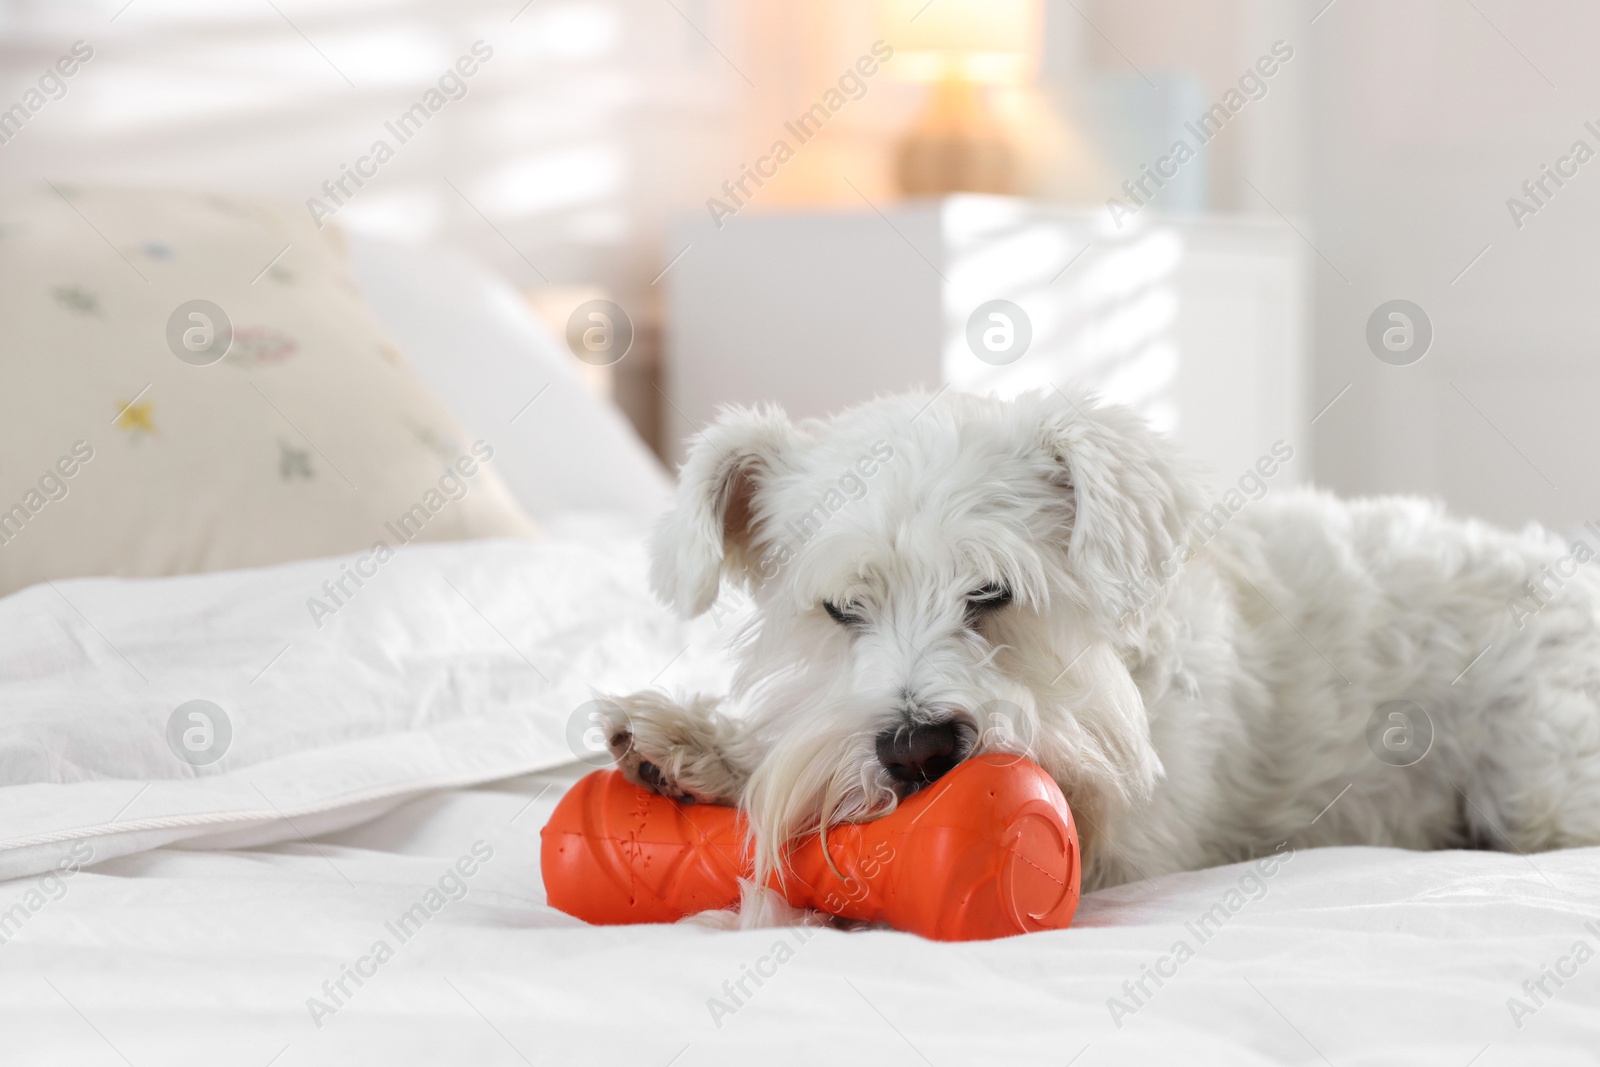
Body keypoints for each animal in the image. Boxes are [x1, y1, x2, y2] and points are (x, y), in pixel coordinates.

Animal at [601, 388, 1600, 908]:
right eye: (842, 608)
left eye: (992, 592)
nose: (919, 749)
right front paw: (698, 746)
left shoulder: (1134, 840)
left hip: (1541, 773)